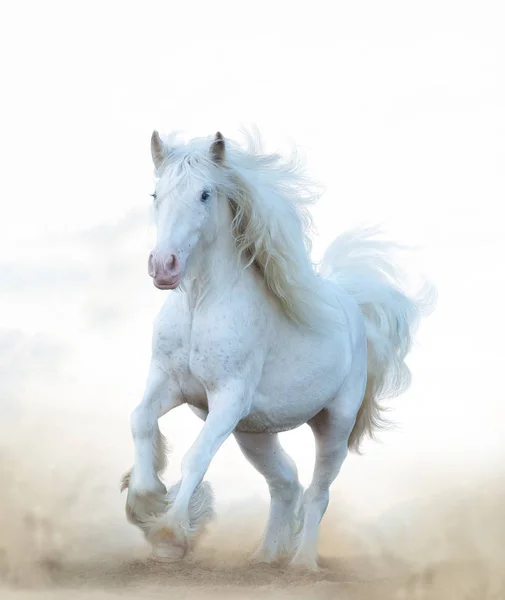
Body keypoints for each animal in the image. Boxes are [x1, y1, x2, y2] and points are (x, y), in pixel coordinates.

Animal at [121, 129, 434, 568]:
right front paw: (145, 499)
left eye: (204, 194)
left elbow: (196, 457)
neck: (200, 305)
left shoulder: (228, 398)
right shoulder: (168, 383)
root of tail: (353, 309)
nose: (163, 266)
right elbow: (140, 420)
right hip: (254, 433)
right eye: (155, 193)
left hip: (333, 425)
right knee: (285, 483)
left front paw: (170, 534)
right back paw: (265, 558)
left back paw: (302, 564)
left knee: (318, 493)